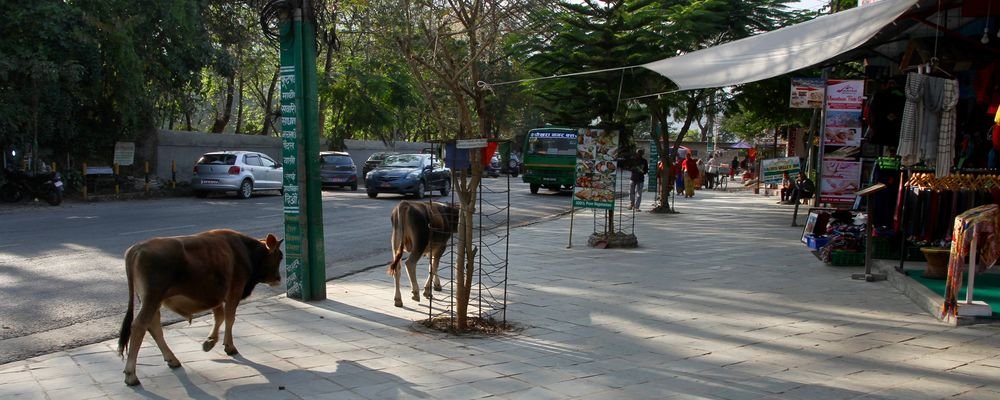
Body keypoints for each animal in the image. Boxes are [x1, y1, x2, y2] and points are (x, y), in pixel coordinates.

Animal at [116, 230, 286, 386]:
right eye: (280, 256)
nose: (278, 278)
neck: (246, 251)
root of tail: (137, 248)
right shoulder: (234, 292)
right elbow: (229, 318)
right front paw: (229, 346)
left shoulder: (216, 298)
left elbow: (219, 317)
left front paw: (210, 341)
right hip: (152, 299)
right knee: (140, 326)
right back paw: (131, 375)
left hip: (152, 301)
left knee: (154, 326)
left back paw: (172, 359)